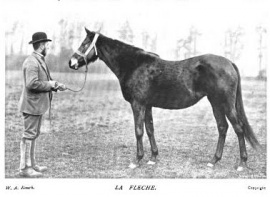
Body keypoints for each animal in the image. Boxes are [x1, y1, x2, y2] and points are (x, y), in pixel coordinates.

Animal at [68, 27, 260, 171]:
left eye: (85, 43)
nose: (71, 62)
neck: (134, 65)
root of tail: (229, 63)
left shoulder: (138, 104)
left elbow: (139, 131)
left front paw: (137, 160)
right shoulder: (147, 105)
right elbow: (150, 129)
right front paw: (153, 157)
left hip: (225, 103)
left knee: (239, 128)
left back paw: (242, 163)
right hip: (215, 103)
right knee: (223, 127)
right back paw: (213, 160)